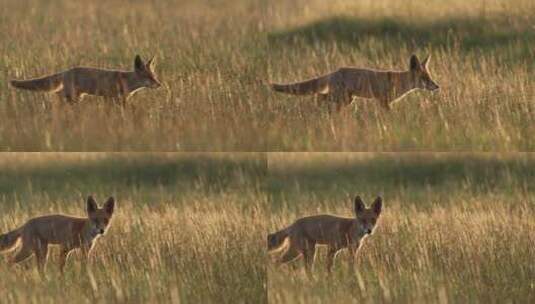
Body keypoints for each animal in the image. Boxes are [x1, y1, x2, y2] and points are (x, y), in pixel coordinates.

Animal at [9, 55, 161, 105]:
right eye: (148, 77)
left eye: (154, 76)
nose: (159, 85)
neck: (125, 80)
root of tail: (67, 70)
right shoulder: (112, 97)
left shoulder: (119, 98)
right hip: (72, 94)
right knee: (58, 94)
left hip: (78, 95)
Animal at [272, 55, 440, 111]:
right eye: (425, 79)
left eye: (429, 77)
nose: (437, 86)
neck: (399, 82)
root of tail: (335, 71)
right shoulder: (383, 100)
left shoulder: (382, 101)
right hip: (341, 97)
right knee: (319, 97)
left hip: (347, 100)